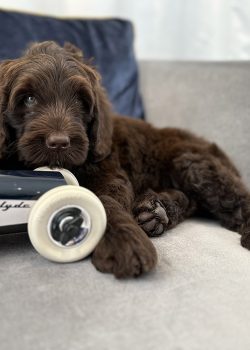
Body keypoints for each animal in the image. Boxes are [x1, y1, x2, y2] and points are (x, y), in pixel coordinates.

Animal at [0, 41, 250, 278]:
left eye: (80, 101)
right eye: (29, 99)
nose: (59, 142)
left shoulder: (109, 170)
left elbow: (105, 200)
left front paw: (124, 243)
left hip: (193, 163)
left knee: (235, 199)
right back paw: (155, 211)